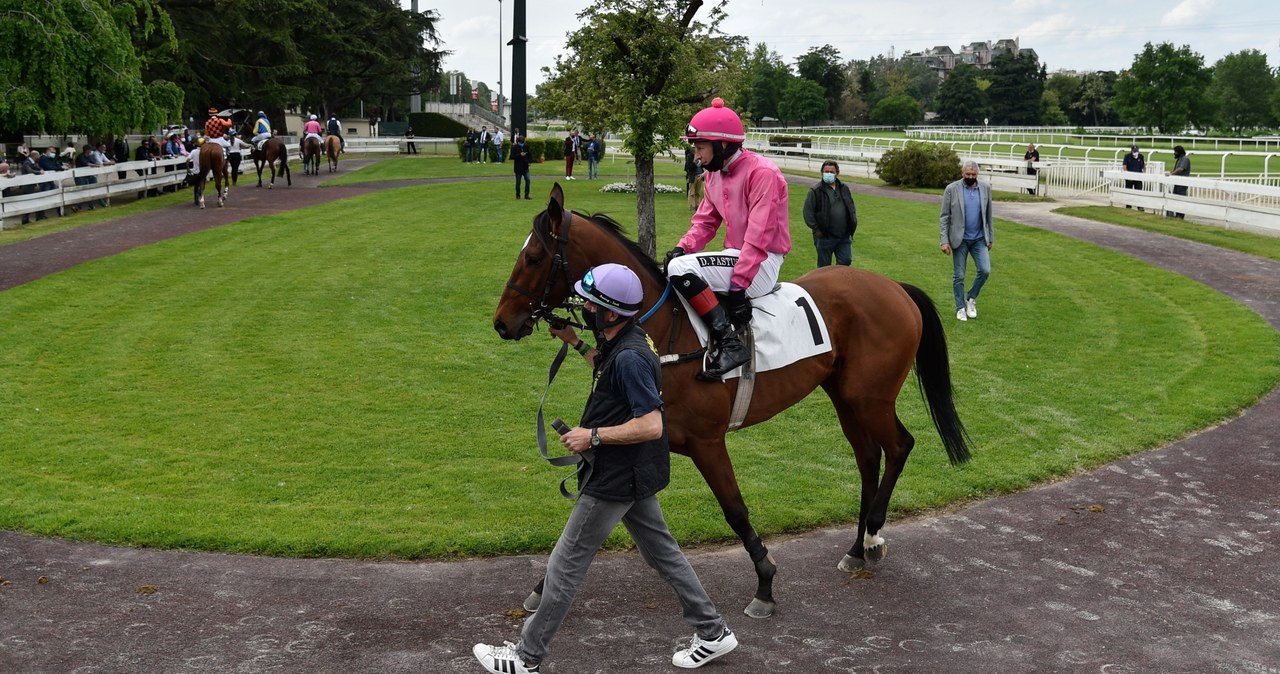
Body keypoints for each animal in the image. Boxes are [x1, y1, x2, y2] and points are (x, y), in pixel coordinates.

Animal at [488, 182, 967, 616]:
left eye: (533, 258)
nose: (502, 322)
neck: (665, 332)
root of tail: (895, 287)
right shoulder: (647, 437)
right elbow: (594, 514)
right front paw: (543, 586)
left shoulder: (707, 441)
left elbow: (734, 509)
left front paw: (765, 584)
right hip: (845, 397)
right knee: (869, 458)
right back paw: (855, 547)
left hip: (870, 397)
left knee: (899, 446)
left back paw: (872, 536)